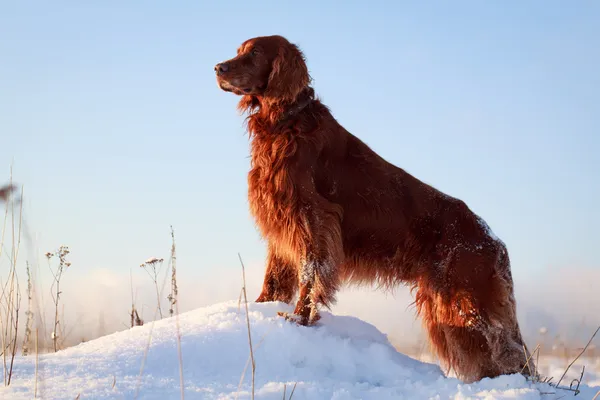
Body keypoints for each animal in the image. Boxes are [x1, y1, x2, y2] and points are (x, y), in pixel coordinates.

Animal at [214, 36, 528, 382]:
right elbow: (275, 276)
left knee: (506, 351)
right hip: (447, 309)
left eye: (255, 52)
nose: (218, 68)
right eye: (239, 50)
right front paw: (260, 308)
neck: (285, 122)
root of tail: (492, 239)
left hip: (467, 301)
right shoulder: (282, 222)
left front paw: (298, 319)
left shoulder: (314, 218)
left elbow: (311, 273)